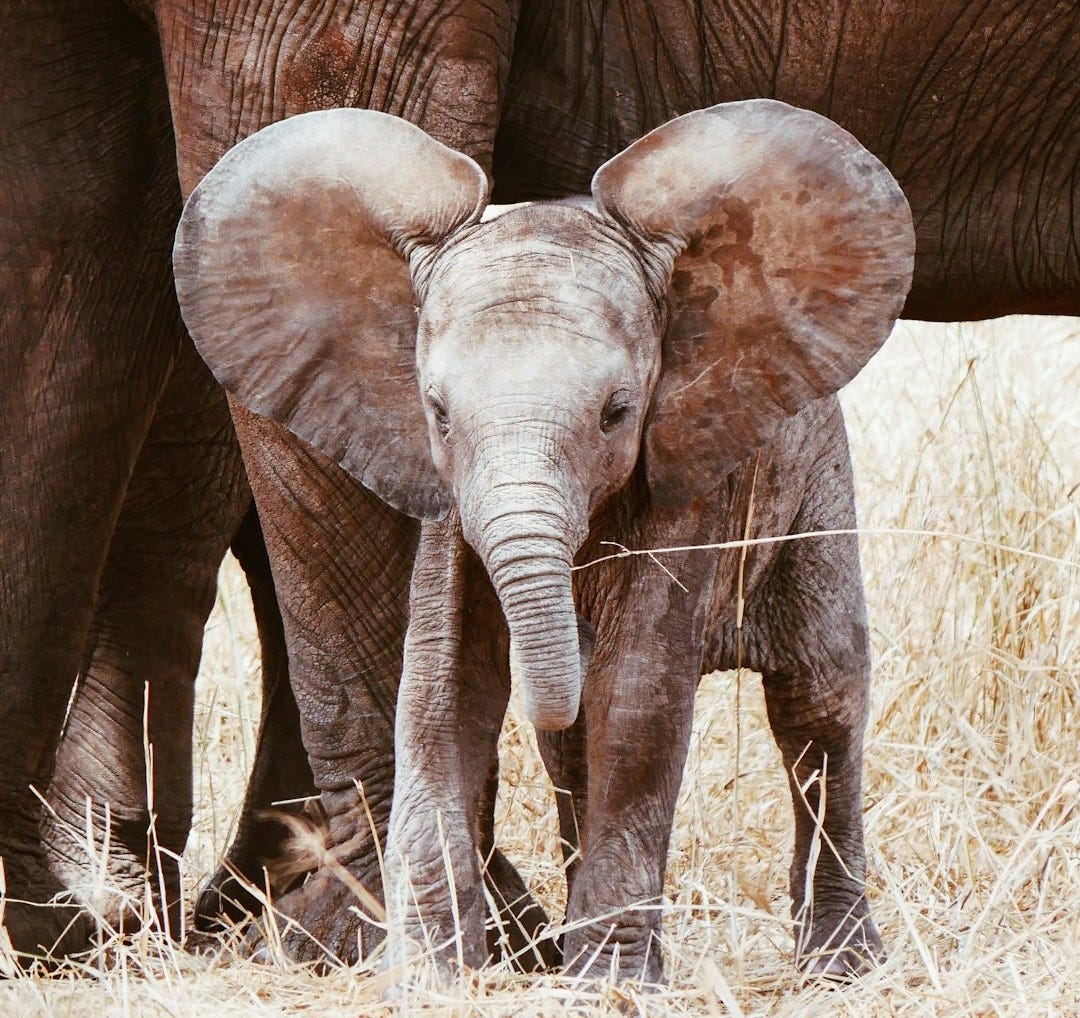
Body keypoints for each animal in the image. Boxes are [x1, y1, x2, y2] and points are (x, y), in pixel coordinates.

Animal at [173, 101, 916, 982]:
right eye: (438, 414)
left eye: (617, 413)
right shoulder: (449, 511)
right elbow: (440, 691)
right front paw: (437, 976)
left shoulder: (687, 475)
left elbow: (637, 693)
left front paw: (612, 984)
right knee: (573, 756)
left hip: (815, 482)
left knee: (819, 699)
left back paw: (841, 965)